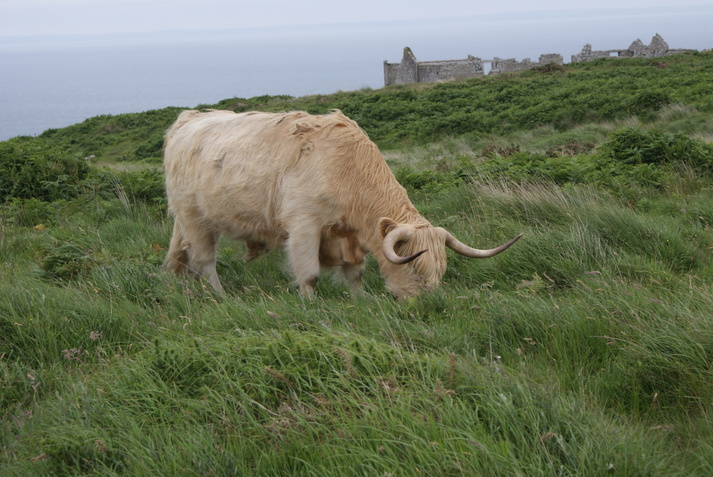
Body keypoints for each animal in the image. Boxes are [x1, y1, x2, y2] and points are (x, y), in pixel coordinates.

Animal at [163, 108, 524, 298]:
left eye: (440, 272)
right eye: (415, 269)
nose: (424, 303)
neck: (347, 169)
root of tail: (188, 119)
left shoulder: (346, 234)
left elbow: (355, 272)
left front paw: (360, 299)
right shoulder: (304, 225)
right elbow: (308, 273)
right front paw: (310, 304)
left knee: (186, 257)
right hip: (194, 217)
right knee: (205, 260)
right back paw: (220, 295)